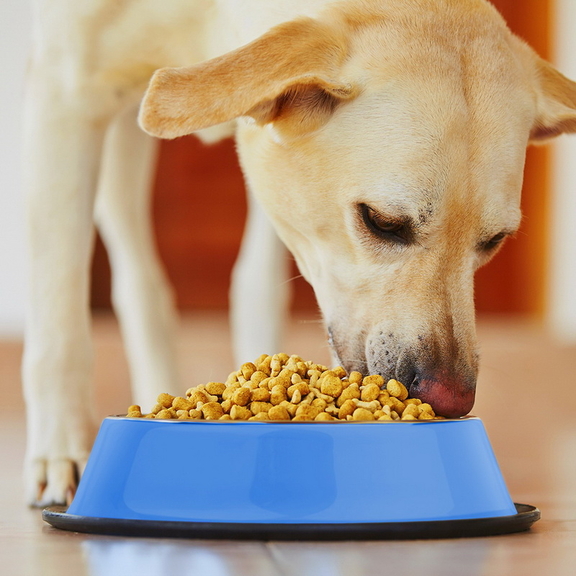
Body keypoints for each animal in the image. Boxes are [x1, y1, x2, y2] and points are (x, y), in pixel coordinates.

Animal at [23, 0, 576, 504]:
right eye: (381, 221)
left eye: (494, 241)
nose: (452, 399)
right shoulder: (64, 100)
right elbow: (58, 322)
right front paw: (62, 452)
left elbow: (258, 290)